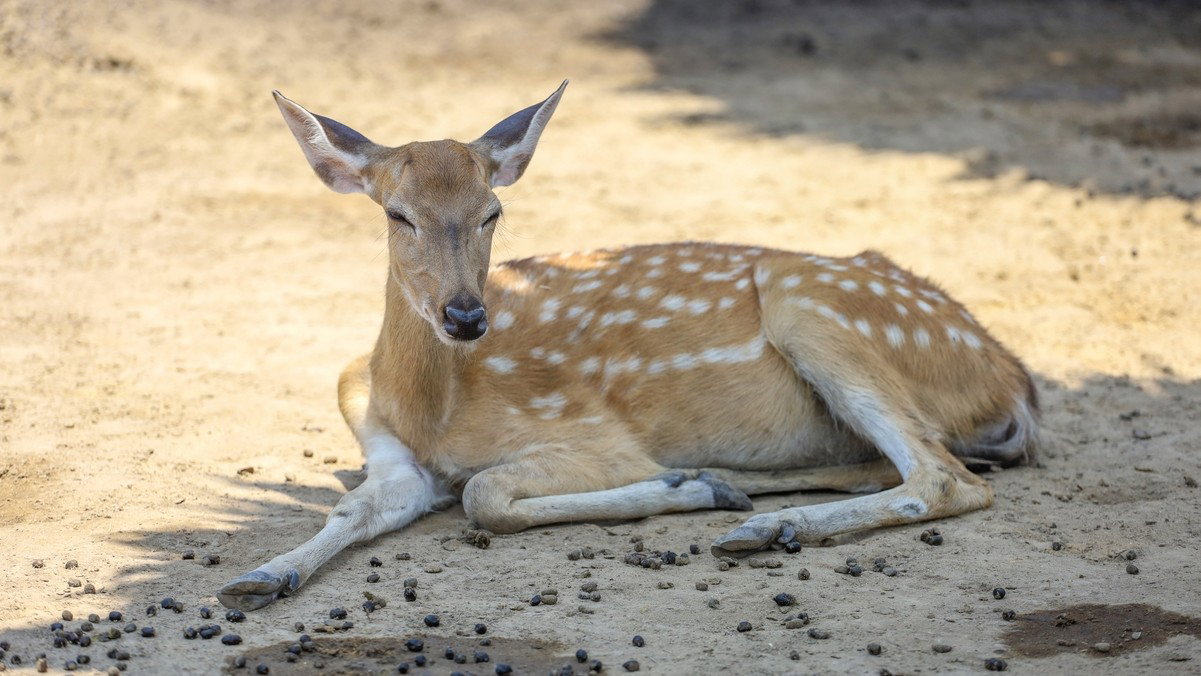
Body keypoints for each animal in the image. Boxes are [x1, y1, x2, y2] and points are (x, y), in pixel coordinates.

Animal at [217, 81, 1039, 611]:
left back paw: (753, 520)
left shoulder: (597, 437)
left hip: (809, 304)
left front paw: (680, 486)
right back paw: (735, 491)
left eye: (492, 211)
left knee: (947, 476)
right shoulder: (386, 448)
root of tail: (1013, 380)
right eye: (397, 213)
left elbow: (486, 495)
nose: (466, 316)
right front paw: (261, 577)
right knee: (897, 464)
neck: (431, 411)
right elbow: (350, 508)